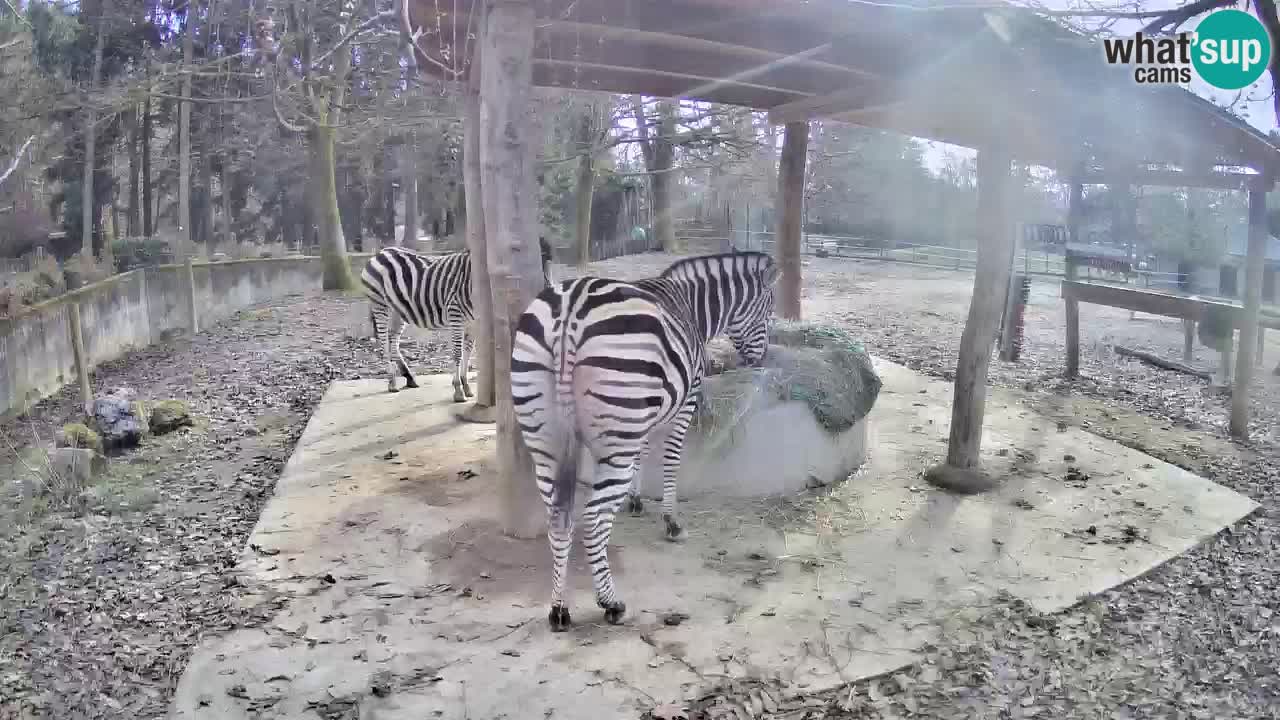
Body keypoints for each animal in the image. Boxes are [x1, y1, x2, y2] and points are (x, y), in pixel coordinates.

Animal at [366, 238, 555, 399]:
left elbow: (467, 352)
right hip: (379, 303)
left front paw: (466, 387)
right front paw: (458, 390)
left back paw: (409, 377)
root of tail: (381, 252)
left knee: (393, 340)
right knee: (383, 341)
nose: (548, 295)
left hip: (399, 310)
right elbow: (458, 352)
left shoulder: (473, 322)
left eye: (547, 264)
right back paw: (392, 381)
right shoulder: (456, 315)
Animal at [509, 248, 778, 627]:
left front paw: (635, 500)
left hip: (547, 437)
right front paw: (671, 521)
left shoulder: (644, 414)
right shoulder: (685, 401)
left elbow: (643, 453)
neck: (691, 305)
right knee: (592, 520)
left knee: (557, 517)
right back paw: (610, 603)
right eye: (767, 313)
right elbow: (670, 461)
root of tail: (570, 309)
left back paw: (559, 608)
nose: (761, 358)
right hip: (615, 432)